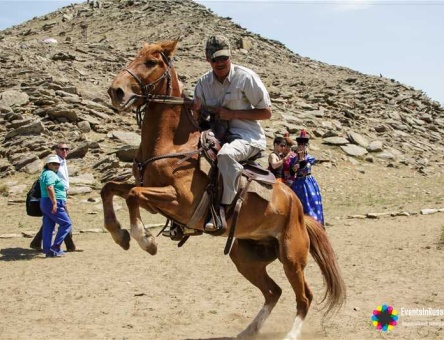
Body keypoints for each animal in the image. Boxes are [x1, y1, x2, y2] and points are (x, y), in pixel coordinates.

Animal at [102, 40, 346, 340]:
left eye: (150, 62)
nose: (116, 91)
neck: (173, 145)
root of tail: (298, 208)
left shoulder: (181, 202)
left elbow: (132, 196)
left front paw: (146, 240)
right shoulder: (151, 193)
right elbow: (111, 189)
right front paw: (119, 234)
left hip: (291, 258)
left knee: (304, 298)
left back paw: (289, 334)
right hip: (245, 256)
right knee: (273, 292)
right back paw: (248, 330)